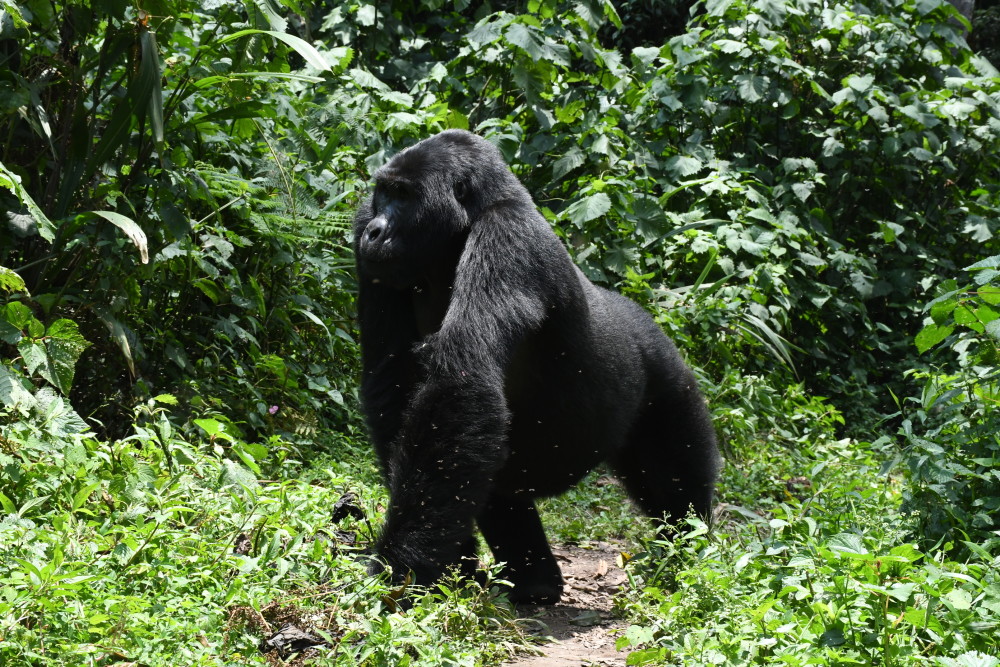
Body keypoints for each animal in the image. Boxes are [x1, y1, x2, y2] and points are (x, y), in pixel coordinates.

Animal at [352, 129, 720, 604]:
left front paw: (403, 565)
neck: (464, 224)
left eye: (404, 195)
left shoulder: (506, 235)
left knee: (675, 484)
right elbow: (396, 386)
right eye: (382, 193)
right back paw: (536, 578)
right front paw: (451, 563)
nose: (375, 231)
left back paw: (688, 558)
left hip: (668, 378)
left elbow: (459, 383)